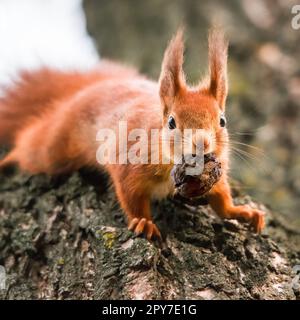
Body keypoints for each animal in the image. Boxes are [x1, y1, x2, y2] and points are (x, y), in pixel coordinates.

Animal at [0, 29, 264, 240]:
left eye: (222, 120)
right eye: (171, 122)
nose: (202, 144)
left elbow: (221, 199)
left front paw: (243, 212)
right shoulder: (129, 164)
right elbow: (131, 196)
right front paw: (143, 222)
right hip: (56, 147)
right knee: (31, 146)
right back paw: (8, 159)